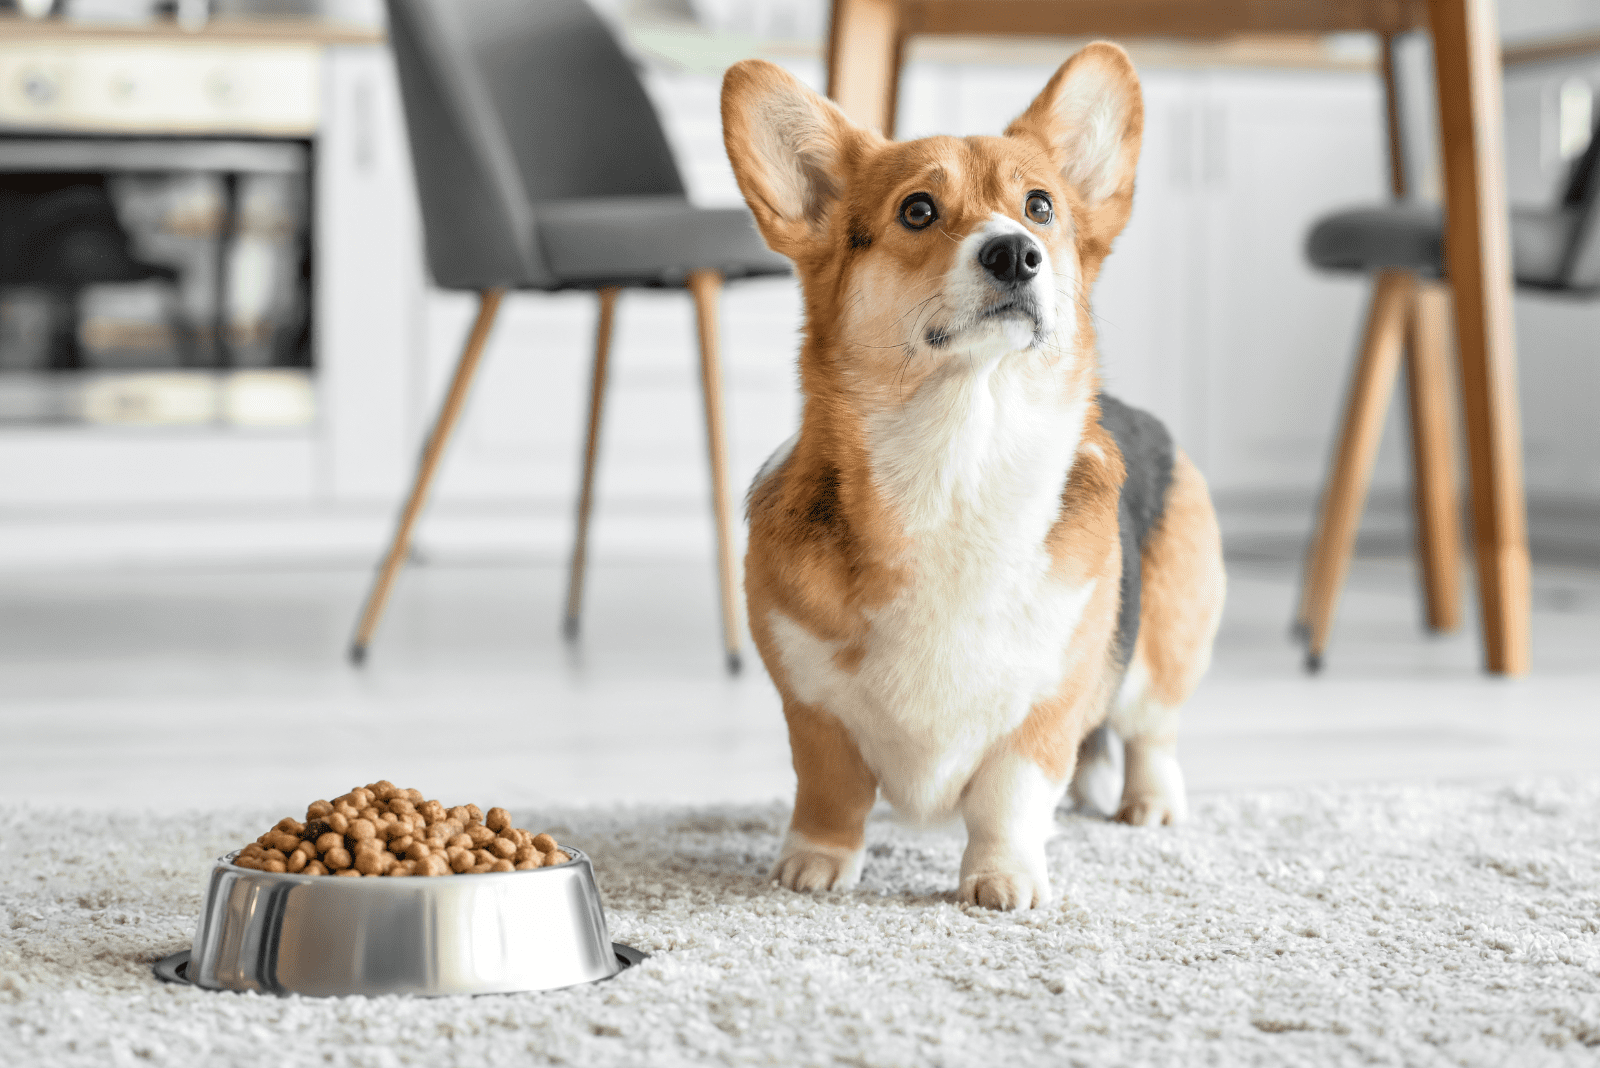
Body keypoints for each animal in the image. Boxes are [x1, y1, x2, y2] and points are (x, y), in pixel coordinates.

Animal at [723, 43, 1222, 908]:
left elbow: (1009, 796)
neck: (958, 457)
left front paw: (1002, 878)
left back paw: (1149, 803)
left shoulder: (1046, 706)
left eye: (1040, 207)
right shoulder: (812, 706)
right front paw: (816, 864)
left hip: (1165, 644)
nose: (1014, 252)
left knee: (1150, 732)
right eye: (918, 210)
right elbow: (830, 791)